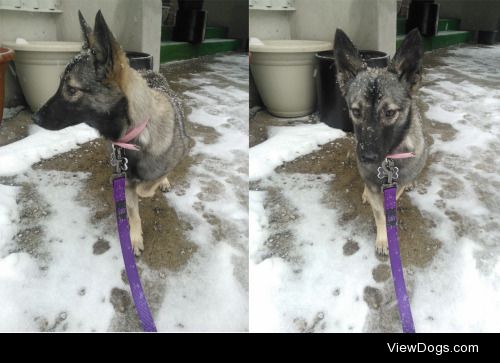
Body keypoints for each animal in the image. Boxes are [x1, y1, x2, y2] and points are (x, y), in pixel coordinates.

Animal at [32, 10, 190, 256]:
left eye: (72, 89)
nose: (35, 119)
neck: (135, 135)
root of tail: (148, 70)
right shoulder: (124, 178)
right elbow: (133, 211)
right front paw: (134, 237)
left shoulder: (178, 154)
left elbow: (149, 185)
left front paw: (152, 184)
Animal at [334, 28, 428, 255]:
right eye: (356, 111)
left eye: (389, 112)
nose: (367, 157)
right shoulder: (374, 184)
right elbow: (379, 214)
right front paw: (384, 239)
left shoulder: (396, 185)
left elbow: (391, 203)